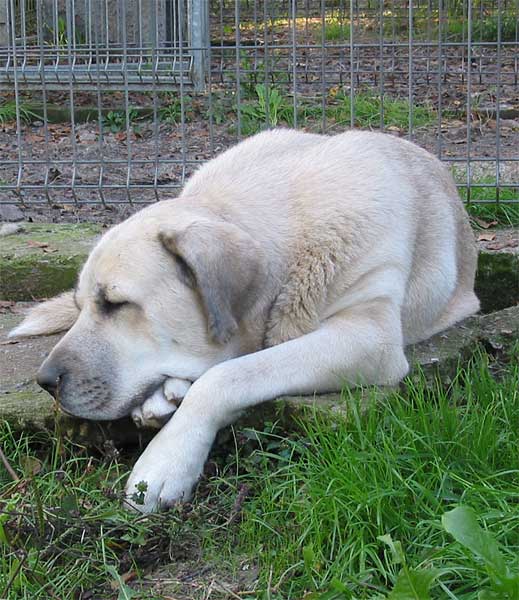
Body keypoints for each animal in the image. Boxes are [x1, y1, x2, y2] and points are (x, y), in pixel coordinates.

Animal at [9, 130, 480, 510]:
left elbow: (227, 376)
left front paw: (167, 459)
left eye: (114, 303)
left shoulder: (369, 336)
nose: (45, 381)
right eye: (83, 305)